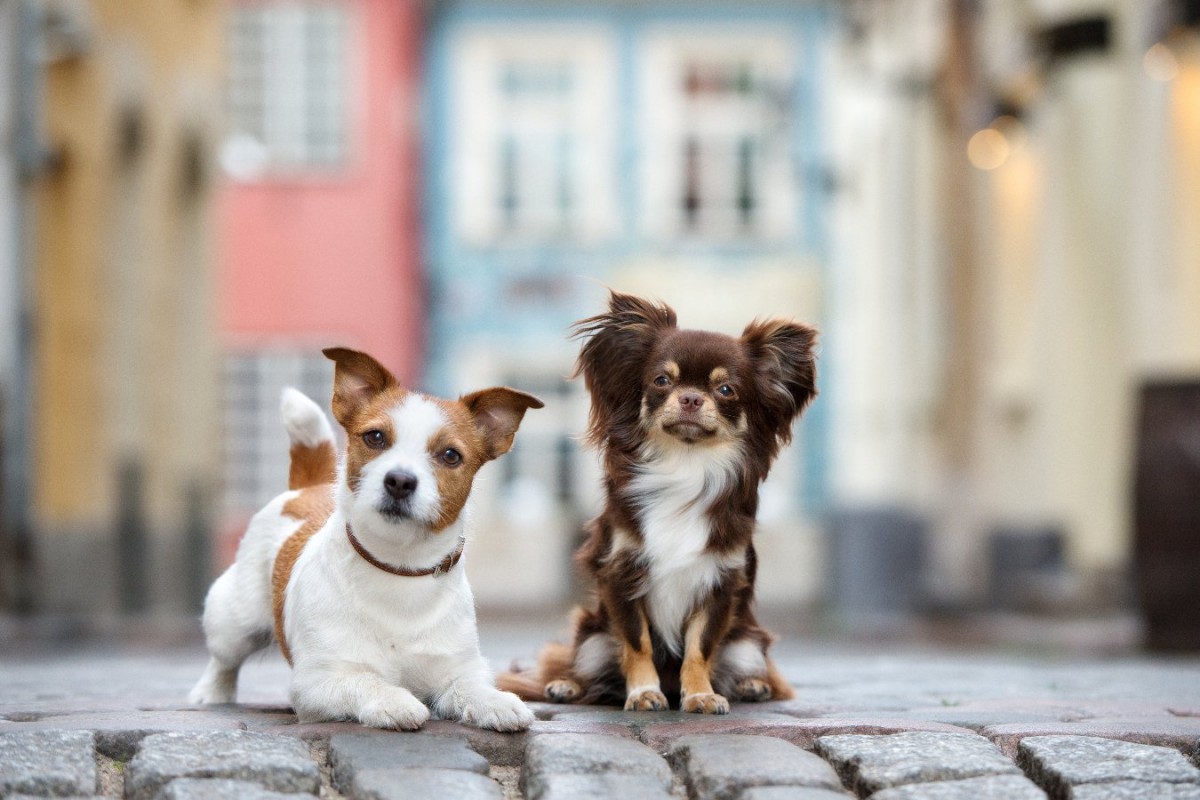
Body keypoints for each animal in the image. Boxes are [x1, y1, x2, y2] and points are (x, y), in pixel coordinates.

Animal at [189, 345, 542, 734]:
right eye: (375, 437)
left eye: (451, 455)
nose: (400, 480)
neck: (399, 567)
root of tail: (308, 486)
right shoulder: (318, 681)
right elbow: (366, 681)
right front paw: (395, 700)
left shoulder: (457, 668)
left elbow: (469, 686)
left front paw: (496, 701)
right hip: (234, 621)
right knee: (224, 660)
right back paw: (211, 694)